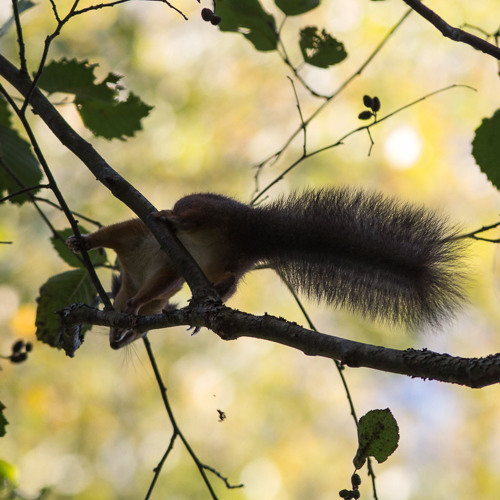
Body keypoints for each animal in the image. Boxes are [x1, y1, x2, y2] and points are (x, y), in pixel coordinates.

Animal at [66, 189, 468, 350]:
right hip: (223, 265)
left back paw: (172, 218)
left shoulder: (149, 249)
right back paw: (207, 303)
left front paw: (84, 243)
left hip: (206, 212)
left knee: (190, 217)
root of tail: (251, 232)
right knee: (228, 281)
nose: (116, 343)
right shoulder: (148, 258)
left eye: (140, 334)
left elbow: (114, 234)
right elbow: (112, 238)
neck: (135, 273)